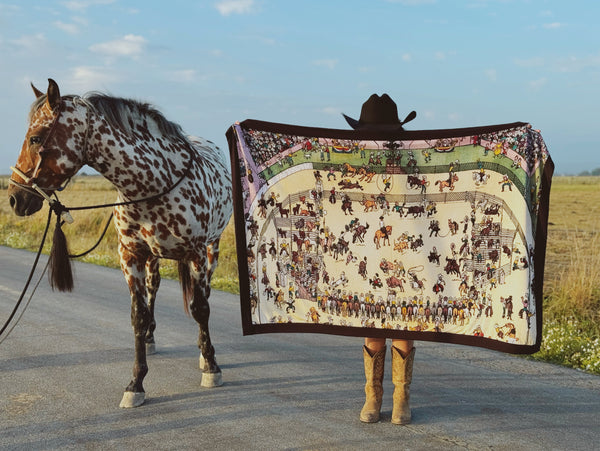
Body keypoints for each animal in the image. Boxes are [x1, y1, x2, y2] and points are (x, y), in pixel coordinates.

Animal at [9, 78, 234, 410]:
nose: (14, 198)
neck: (154, 183)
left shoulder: (196, 253)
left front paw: (211, 366)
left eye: (35, 138)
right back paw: (153, 339)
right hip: (153, 258)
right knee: (154, 289)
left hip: (211, 249)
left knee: (201, 295)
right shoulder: (130, 256)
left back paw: (204, 352)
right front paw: (135, 383)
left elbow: (201, 308)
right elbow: (138, 316)